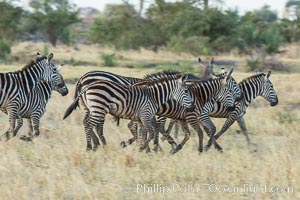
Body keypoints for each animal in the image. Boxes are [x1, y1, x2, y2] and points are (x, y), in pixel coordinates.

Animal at [63, 74, 195, 152]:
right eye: (186, 91)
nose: (193, 106)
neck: (153, 96)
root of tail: (87, 85)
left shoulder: (141, 119)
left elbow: (142, 133)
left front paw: (139, 148)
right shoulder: (145, 115)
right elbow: (151, 133)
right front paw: (143, 148)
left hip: (93, 108)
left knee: (88, 123)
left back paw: (95, 146)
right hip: (98, 108)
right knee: (90, 125)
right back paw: (90, 147)